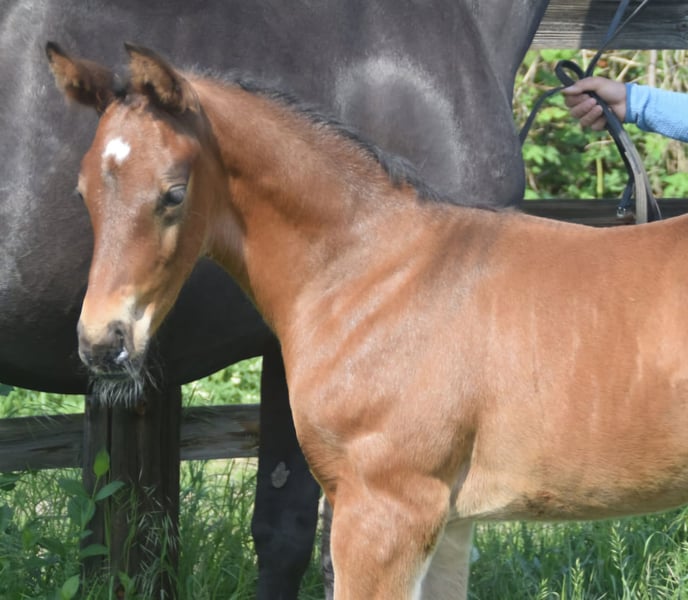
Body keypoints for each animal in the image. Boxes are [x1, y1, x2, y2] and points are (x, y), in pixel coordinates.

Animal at [48, 41, 688, 599]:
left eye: (174, 193)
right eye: (82, 192)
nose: (103, 343)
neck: (373, 272)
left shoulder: (387, 511)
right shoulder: (449, 522)